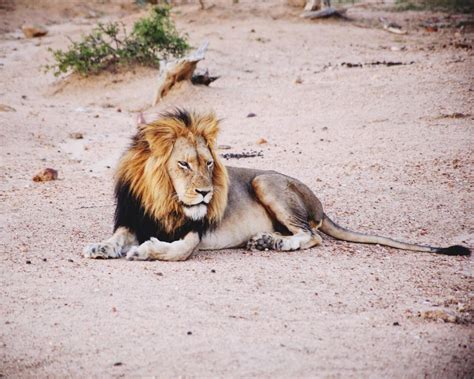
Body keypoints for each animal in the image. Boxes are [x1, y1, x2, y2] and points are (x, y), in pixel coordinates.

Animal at [82, 107, 470, 262]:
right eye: (183, 164)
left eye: (209, 164)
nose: (206, 192)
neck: (163, 197)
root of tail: (320, 203)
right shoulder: (133, 218)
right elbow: (117, 237)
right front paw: (101, 247)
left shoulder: (195, 233)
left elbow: (176, 250)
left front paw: (144, 251)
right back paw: (265, 240)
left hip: (266, 181)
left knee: (310, 235)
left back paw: (274, 242)